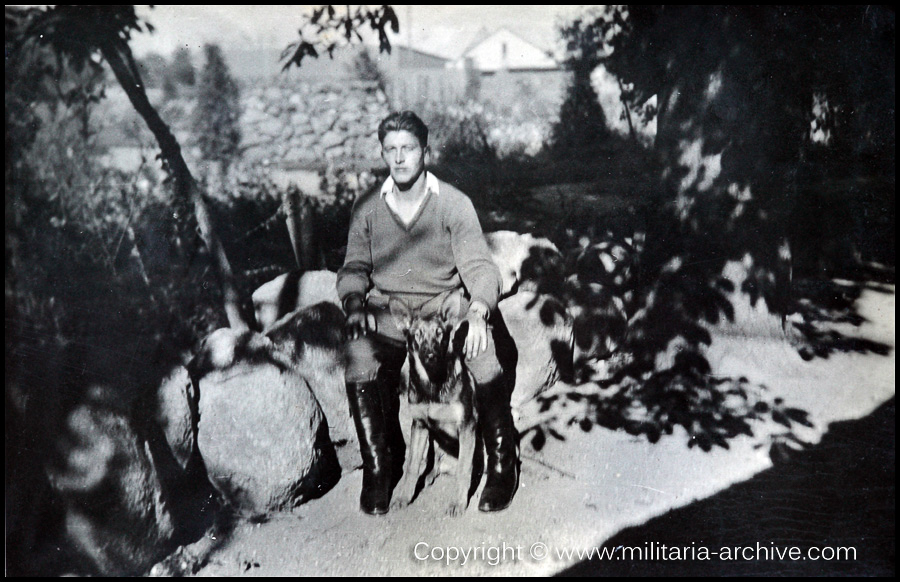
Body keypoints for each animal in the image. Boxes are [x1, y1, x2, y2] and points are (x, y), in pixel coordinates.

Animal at [390, 290, 482, 516]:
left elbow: (464, 470)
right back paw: (429, 476)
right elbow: (411, 466)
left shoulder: (467, 426)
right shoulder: (420, 425)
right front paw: (403, 496)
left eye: (440, 333)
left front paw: (458, 503)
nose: (430, 356)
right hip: (436, 443)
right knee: (434, 464)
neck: (433, 385)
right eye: (417, 334)